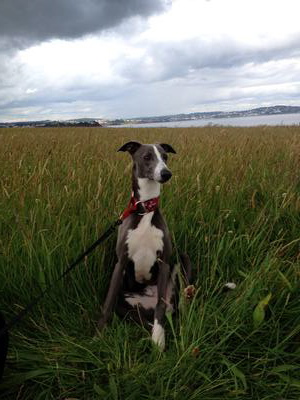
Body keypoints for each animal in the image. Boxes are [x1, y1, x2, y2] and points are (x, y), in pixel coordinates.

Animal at [97, 141, 191, 350]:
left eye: (165, 157)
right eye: (147, 157)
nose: (166, 174)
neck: (145, 210)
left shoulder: (163, 262)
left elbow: (160, 306)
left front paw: (159, 338)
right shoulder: (121, 262)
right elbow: (107, 303)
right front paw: (98, 336)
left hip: (182, 262)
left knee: (178, 304)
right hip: (125, 301)